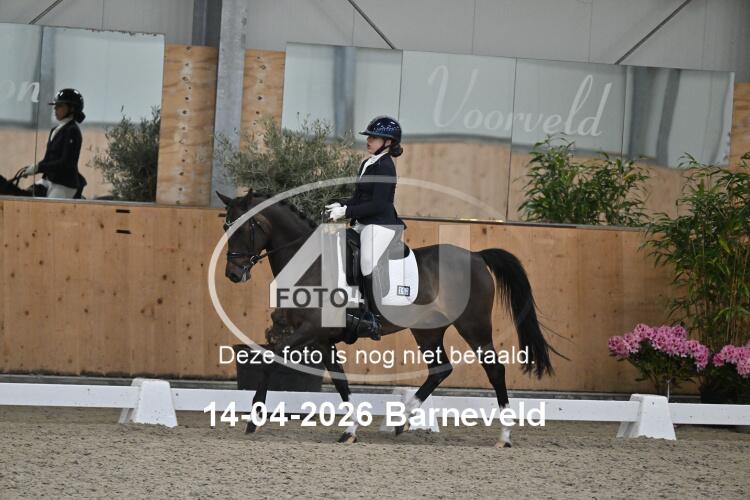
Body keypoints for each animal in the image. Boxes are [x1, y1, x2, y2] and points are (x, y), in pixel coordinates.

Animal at [217, 190, 555, 447]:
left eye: (243, 228)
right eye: (225, 228)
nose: (233, 274)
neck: (312, 263)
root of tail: (476, 256)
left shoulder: (310, 330)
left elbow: (271, 359)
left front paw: (254, 419)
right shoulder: (323, 338)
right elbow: (340, 381)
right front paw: (351, 430)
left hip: (474, 326)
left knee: (494, 369)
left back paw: (504, 436)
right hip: (427, 330)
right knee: (440, 369)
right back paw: (401, 421)